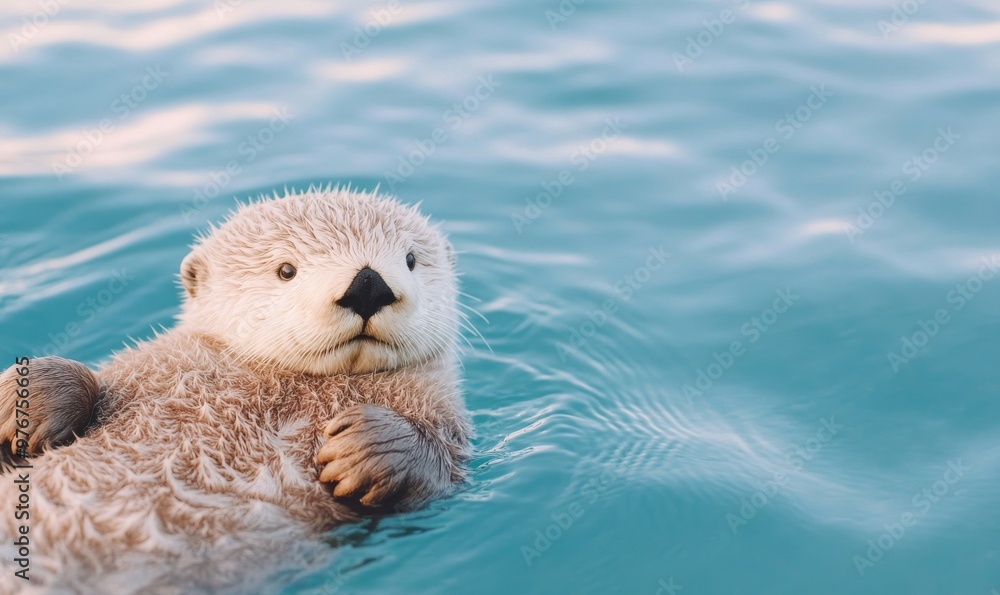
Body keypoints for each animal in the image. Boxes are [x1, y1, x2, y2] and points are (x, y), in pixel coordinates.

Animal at [0, 188, 470, 593]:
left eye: (411, 259)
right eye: (286, 270)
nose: (368, 284)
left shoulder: (446, 422)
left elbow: (437, 461)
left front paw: (367, 448)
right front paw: (26, 402)